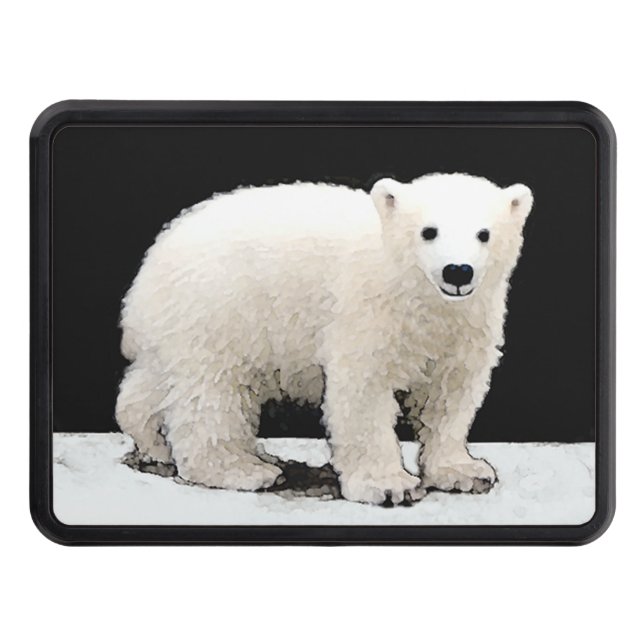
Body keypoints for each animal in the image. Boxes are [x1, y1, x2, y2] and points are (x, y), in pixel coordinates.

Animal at [116, 173, 533, 505]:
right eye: (428, 231)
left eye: (484, 234)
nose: (458, 271)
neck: (417, 294)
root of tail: (150, 265)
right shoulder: (367, 310)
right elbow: (363, 391)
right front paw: (389, 485)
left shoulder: (467, 325)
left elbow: (450, 394)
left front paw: (465, 471)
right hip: (219, 310)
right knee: (212, 394)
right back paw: (244, 469)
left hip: (180, 327)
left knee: (154, 384)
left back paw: (155, 443)